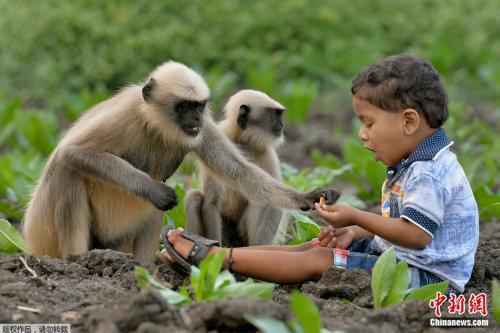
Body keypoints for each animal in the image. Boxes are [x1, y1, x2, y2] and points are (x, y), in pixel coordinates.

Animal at [186, 89, 292, 245]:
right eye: (277, 115)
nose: (282, 125)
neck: (241, 140)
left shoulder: (267, 153)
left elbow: (275, 202)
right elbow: (212, 202)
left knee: (261, 200)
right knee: (194, 197)